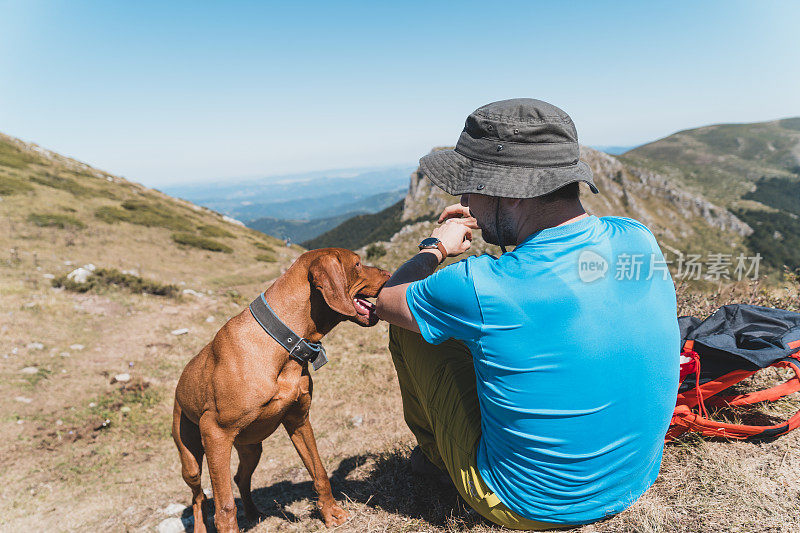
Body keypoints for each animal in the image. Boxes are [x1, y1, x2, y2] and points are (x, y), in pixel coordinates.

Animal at [172, 247, 390, 528]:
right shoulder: (215, 432)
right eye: (357, 264)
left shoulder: (299, 420)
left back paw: (253, 513)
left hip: (251, 447)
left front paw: (331, 513)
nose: (389, 273)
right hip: (191, 458)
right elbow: (225, 507)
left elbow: (319, 472)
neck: (283, 343)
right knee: (198, 497)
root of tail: (178, 386)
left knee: (240, 478)